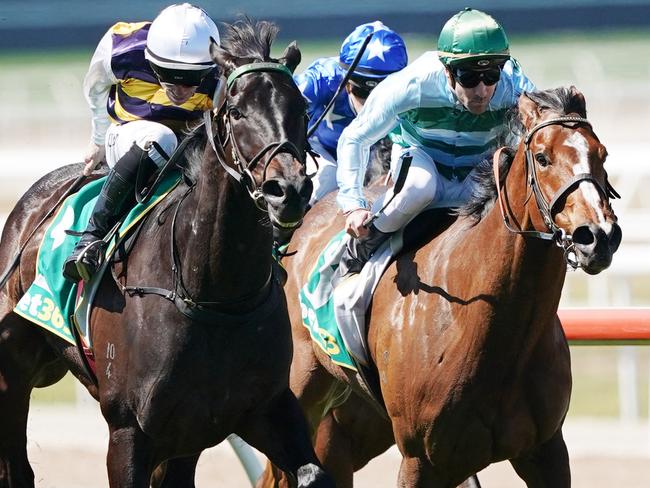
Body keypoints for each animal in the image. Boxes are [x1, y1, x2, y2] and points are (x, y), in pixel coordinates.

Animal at [0, 20, 334, 488]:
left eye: (302, 108)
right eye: (236, 111)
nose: (286, 191)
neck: (214, 295)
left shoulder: (252, 411)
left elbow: (312, 472)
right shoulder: (129, 432)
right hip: (13, 369)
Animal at [256, 86, 616, 486]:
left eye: (602, 153)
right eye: (542, 157)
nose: (597, 236)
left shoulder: (546, 450)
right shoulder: (421, 459)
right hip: (301, 394)